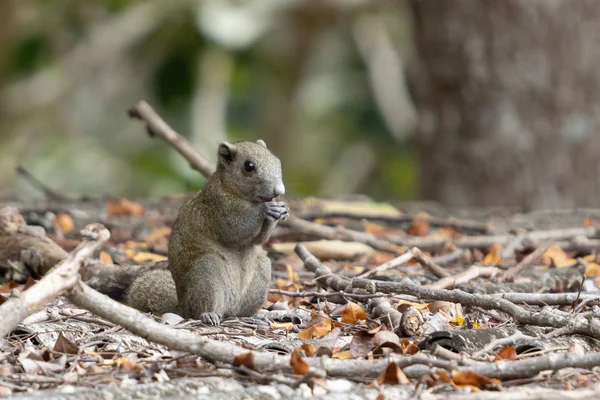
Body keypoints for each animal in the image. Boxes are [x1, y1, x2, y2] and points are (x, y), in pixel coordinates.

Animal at [125, 141, 288, 324]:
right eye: (249, 166)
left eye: (277, 161)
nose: (279, 191)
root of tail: (183, 306)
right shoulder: (218, 207)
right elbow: (235, 230)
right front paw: (266, 209)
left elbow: (259, 240)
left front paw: (281, 210)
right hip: (207, 271)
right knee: (200, 309)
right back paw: (208, 314)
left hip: (260, 274)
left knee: (242, 311)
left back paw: (255, 316)